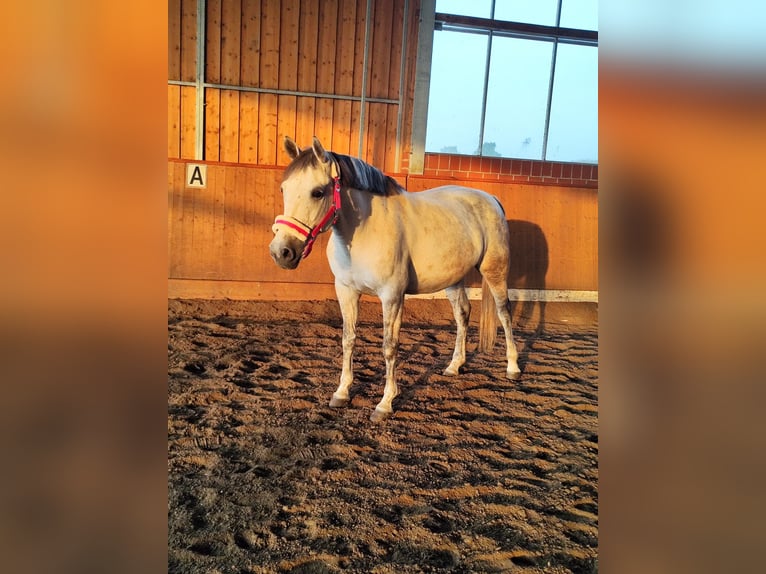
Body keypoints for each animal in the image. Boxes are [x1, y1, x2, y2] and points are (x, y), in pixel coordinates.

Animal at [270, 136, 520, 424]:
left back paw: (513, 367)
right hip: (453, 279)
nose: (281, 252)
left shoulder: (391, 297)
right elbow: (348, 339)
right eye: (283, 189)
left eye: (318, 192)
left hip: (495, 271)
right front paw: (342, 393)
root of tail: (491, 199)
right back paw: (454, 365)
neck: (366, 231)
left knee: (504, 313)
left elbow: (389, 347)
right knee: (462, 315)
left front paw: (385, 403)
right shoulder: (346, 291)